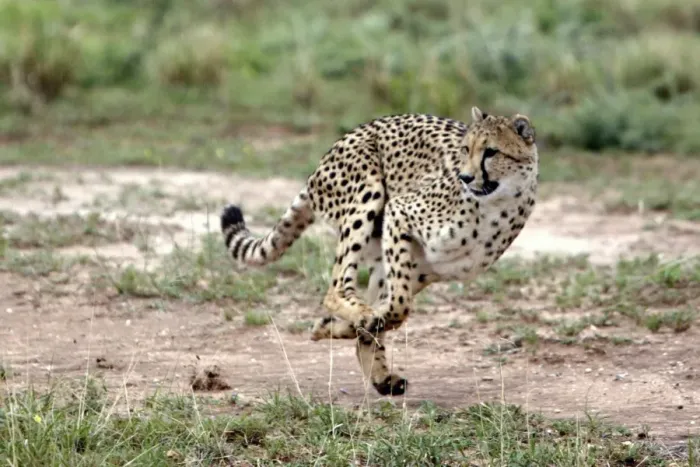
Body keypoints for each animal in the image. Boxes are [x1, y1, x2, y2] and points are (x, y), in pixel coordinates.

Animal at [220, 106, 539, 397]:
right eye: (466, 148)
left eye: (491, 152)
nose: (465, 177)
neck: (495, 204)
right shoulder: (399, 213)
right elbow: (398, 306)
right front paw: (363, 321)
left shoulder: (427, 267)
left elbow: (392, 308)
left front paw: (342, 327)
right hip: (366, 196)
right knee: (336, 288)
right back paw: (360, 324)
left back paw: (377, 369)